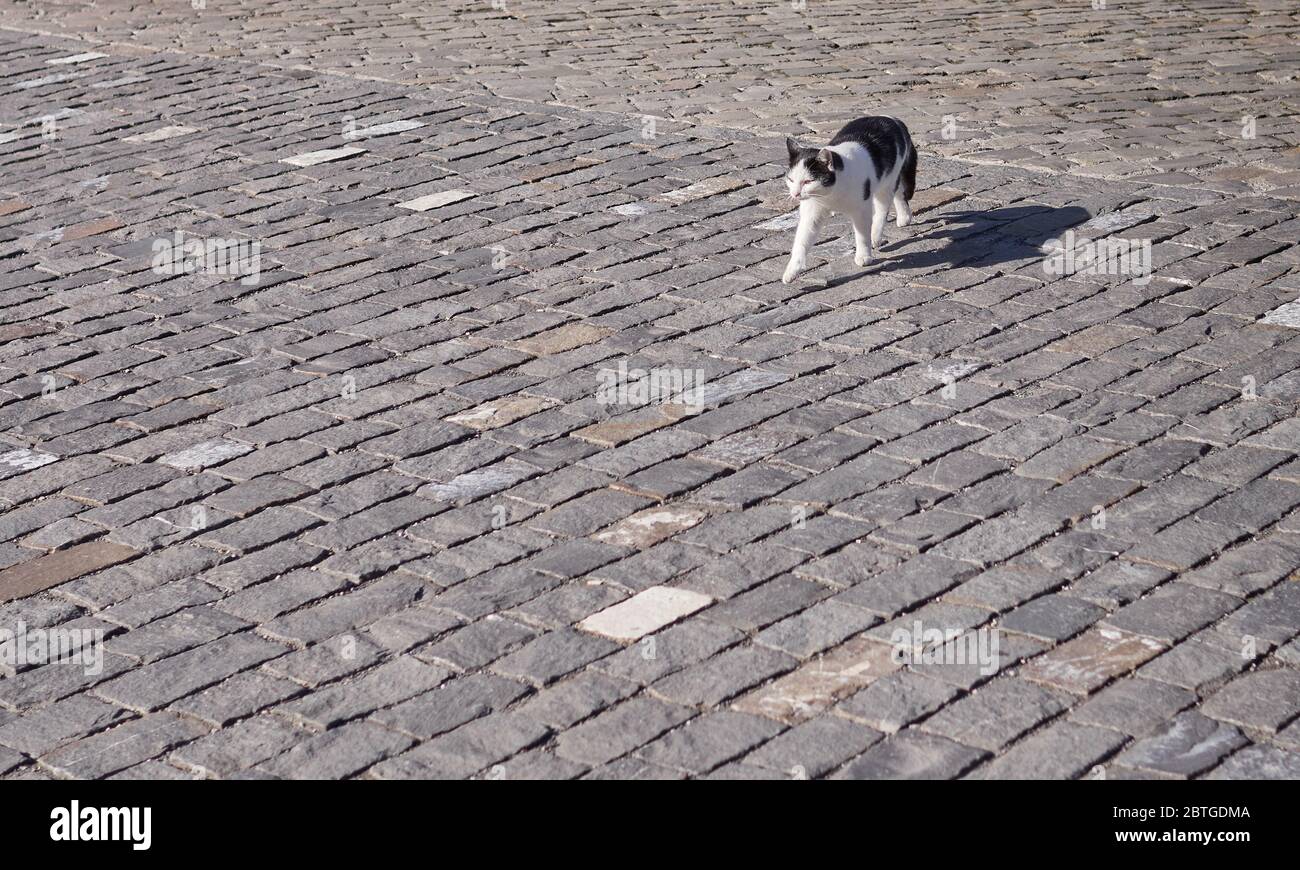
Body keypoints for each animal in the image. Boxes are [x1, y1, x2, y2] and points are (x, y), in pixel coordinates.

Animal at [780, 115, 915, 283]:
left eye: (808, 181)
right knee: (898, 192)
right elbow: (802, 240)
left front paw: (864, 256)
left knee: (884, 207)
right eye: (791, 180)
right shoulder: (812, 212)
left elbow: (862, 234)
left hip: (887, 182)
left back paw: (877, 235)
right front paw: (792, 271)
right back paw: (904, 217)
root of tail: (894, 119)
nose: (796, 194)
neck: (830, 195)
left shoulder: (861, 208)